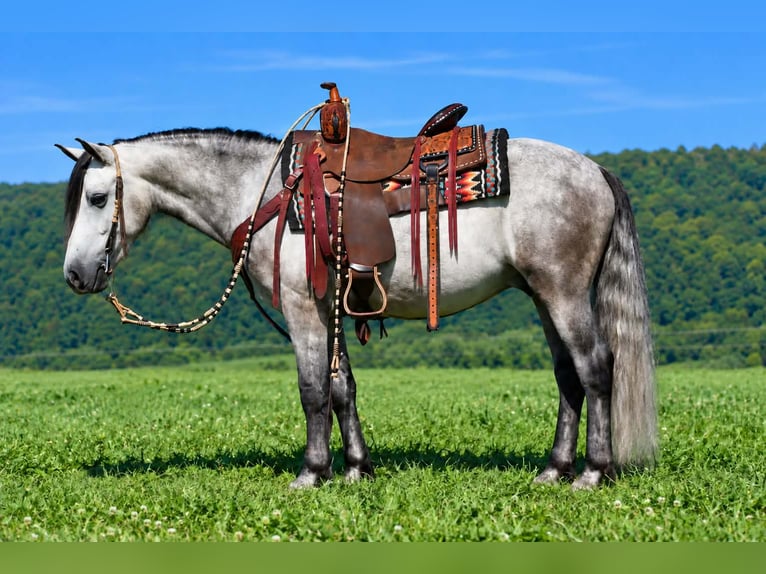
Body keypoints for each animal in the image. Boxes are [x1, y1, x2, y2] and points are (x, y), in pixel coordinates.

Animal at [58, 122, 658, 490]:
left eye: (96, 198)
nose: (75, 275)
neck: (265, 193)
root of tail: (595, 170)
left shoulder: (303, 309)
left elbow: (312, 390)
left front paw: (311, 472)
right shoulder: (330, 312)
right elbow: (343, 387)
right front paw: (356, 469)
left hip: (563, 293)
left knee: (595, 367)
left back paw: (592, 473)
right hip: (543, 297)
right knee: (568, 376)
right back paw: (554, 470)